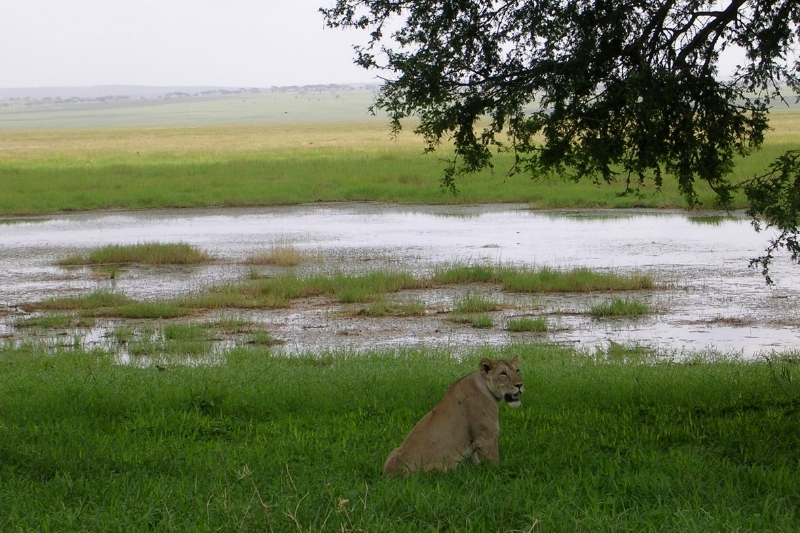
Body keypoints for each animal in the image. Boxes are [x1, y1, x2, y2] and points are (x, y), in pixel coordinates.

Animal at [382, 357, 523, 475]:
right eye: (503, 374)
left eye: (517, 370)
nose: (520, 385)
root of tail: (390, 475)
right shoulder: (485, 438)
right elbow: (494, 463)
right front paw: (499, 472)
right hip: (442, 468)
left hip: (394, 450)